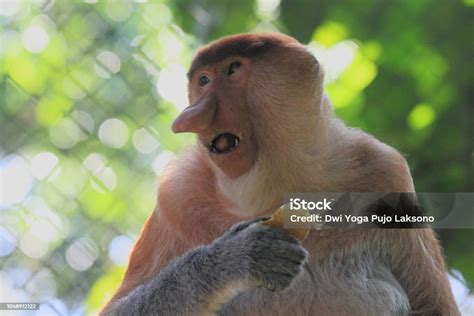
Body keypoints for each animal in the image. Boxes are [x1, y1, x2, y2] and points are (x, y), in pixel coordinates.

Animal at [101, 32, 460, 316]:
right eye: (202, 80)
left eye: (233, 69)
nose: (189, 116)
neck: (278, 182)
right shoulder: (178, 195)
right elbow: (118, 310)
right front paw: (239, 254)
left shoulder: (386, 174)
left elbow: (434, 307)